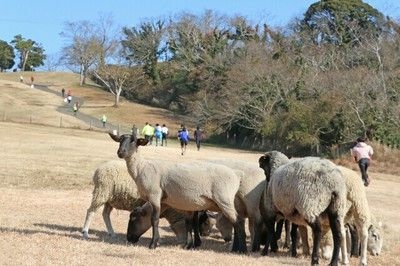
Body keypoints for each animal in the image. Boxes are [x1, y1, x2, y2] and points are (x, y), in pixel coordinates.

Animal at [109, 134, 247, 252]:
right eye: (120, 140)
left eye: (134, 141)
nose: (120, 152)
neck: (142, 168)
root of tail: (236, 175)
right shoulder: (177, 203)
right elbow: (188, 224)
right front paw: (188, 245)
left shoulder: (154, 196)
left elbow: (155, 220)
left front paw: (153, 244)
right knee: (237, 221)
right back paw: (238, 248)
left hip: (224, 200)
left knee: (237, 222)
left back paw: (241, 249)